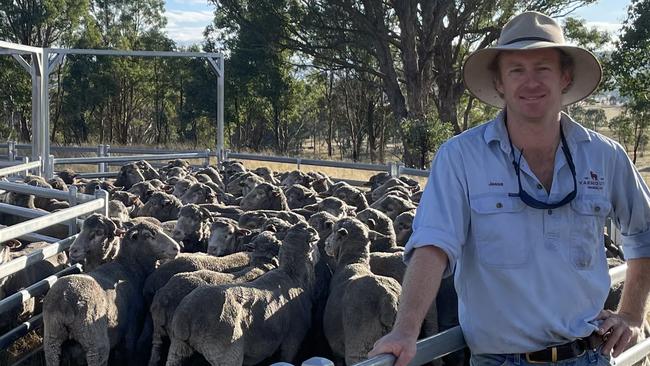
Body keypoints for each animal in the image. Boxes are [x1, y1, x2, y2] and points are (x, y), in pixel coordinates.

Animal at [42, 220, 180, 366]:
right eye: (148, 235)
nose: (176, 248)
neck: (131, 267)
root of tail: (65, 301)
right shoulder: (132, 329)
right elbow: (128, 352)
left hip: (52, 342)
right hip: (95, 343)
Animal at [320, 219, 400, 364]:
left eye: (334, 230)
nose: (325, 244)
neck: (354, 262)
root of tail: (388, 298)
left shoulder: (336, 350)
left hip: (358, 347)